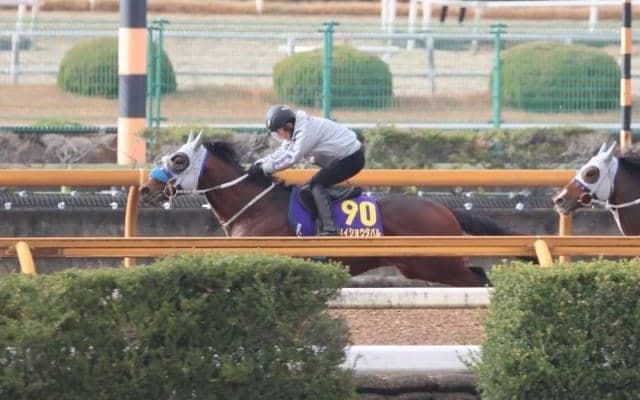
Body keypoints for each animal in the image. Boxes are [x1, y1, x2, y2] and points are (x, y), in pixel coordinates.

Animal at [140, 131, 527, 287]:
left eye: (178, 160)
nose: (145, 189)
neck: (256, 207)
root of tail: (443, 208)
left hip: (438, 264)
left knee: (478, 279)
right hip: (423, 266)